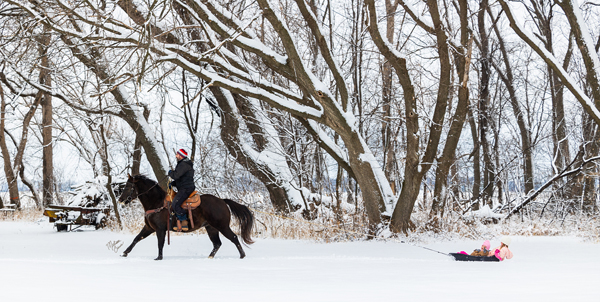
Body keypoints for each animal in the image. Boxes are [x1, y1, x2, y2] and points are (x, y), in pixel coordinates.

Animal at [118, 175, 254, 260]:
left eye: (128, 187)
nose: (120, 200)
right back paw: (210, 257)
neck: (157, 203)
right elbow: (136, 239)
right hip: (211, 228)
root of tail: (222, 201)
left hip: (222, 226)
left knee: (234, 238)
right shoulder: (149, 228)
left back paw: (242, 255)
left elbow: (160, 243)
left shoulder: (160, 229)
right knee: (217, 243)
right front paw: (124, 253)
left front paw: (159, 258)